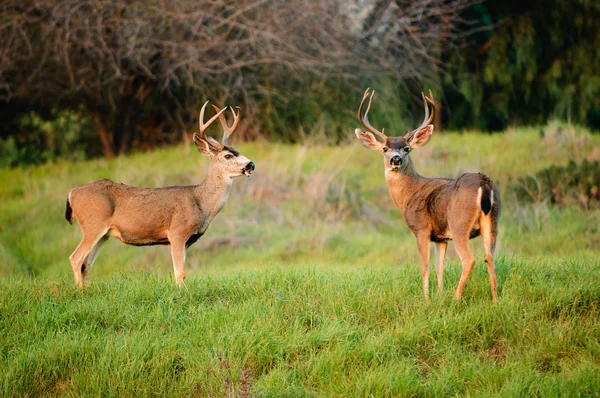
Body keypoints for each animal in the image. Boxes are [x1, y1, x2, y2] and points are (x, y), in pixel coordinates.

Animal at [64, 101, 254, 288]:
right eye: (228, 155)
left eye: (237, 151)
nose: (251, 164)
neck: (201, 202)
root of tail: (72, 193)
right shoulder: (177, 232)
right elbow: (180, 274)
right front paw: (181, 293)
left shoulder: (188, 240)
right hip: (93, 224)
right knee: (75, 258)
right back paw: (80, 292)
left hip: (103, 234)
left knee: (86, 264)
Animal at [354, 89, 500, 302]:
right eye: (384, 148)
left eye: (407, 148)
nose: (395, 159)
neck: (409, 193)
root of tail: (484, 184)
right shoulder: (441, 237)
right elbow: (440, 267)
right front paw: (439, 295)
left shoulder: (421, 228)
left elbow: (425, 266)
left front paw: (427, 299)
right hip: (493, 221)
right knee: (490, 257)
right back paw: (495, 301)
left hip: (459, 223)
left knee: (469, 260)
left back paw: (456, 299)